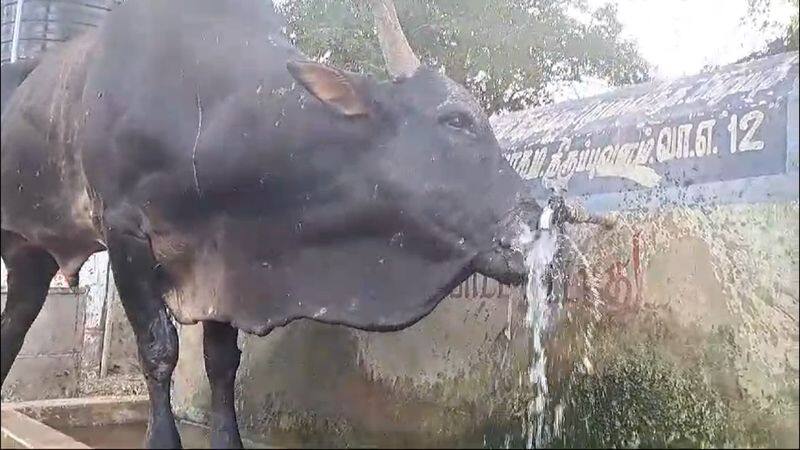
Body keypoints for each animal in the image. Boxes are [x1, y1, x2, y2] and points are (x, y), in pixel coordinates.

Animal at [1, 0, 552, 446]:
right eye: (456, 120)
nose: (541, 208)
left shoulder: (223, 262)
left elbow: (222, 364)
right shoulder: (124, 230)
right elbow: (159, 348)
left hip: (29, 257)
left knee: (14, 324)